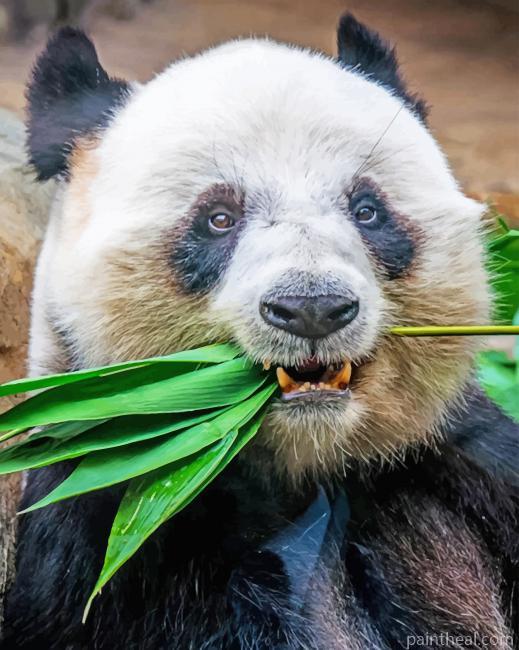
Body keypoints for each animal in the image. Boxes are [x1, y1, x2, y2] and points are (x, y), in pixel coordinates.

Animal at [2, 13, 518, 650]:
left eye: (367, 209)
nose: (312, 307)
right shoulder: (125, 517)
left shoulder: (457, 461)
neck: (304, 462)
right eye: (218, 218)